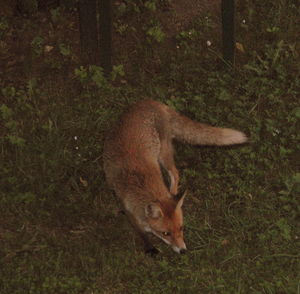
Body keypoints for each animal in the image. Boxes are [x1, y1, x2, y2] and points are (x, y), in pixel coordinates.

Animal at [102, 100, 247, 254]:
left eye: (181, 228)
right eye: (166, 233)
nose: (183, 251)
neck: (138, 184)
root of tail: (152, 102)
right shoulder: (128, 210)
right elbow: (142, 233)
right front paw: (150, 248)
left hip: (163, 153)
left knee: (175, 173)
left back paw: (172, 192)